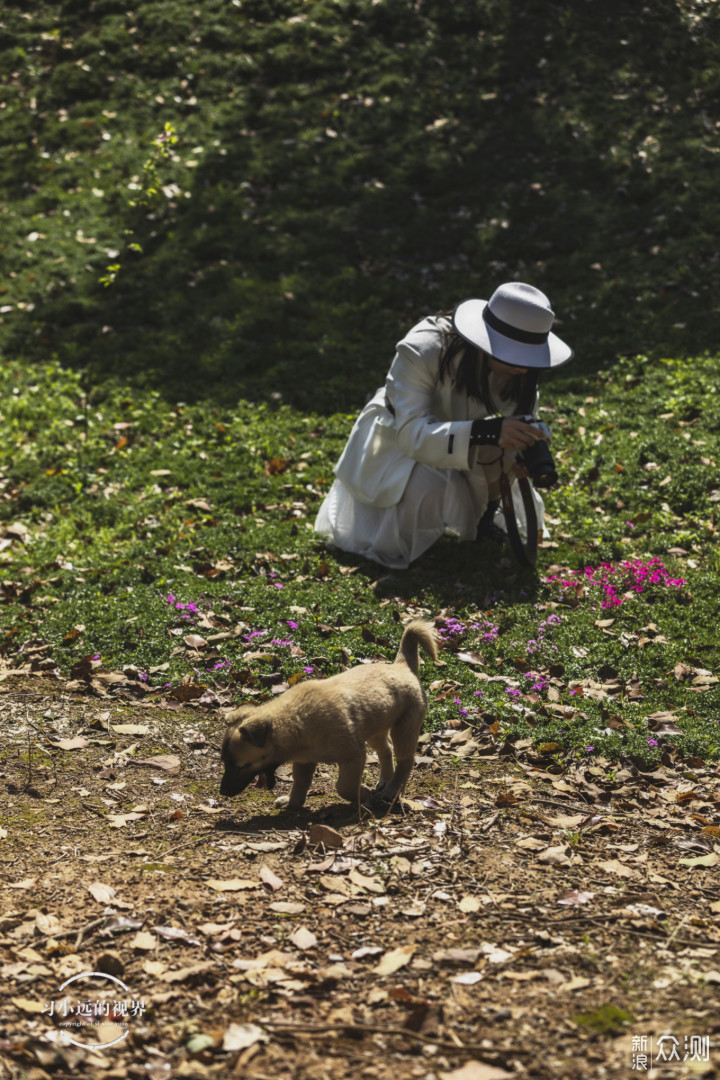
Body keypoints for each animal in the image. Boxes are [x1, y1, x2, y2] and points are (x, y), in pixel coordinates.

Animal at [220, 622, 436, 807]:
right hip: (376, 727)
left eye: (239, 766)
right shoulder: (304, 761)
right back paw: (385, 780)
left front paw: (363, 795)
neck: (295, 720)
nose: (222, 792)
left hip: (405, 728)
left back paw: (392, 790)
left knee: (405, 761)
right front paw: (291, 802)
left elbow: (344, 788)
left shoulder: (353, 756)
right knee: (386, 750)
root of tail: (402, 666)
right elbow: (300, 784)